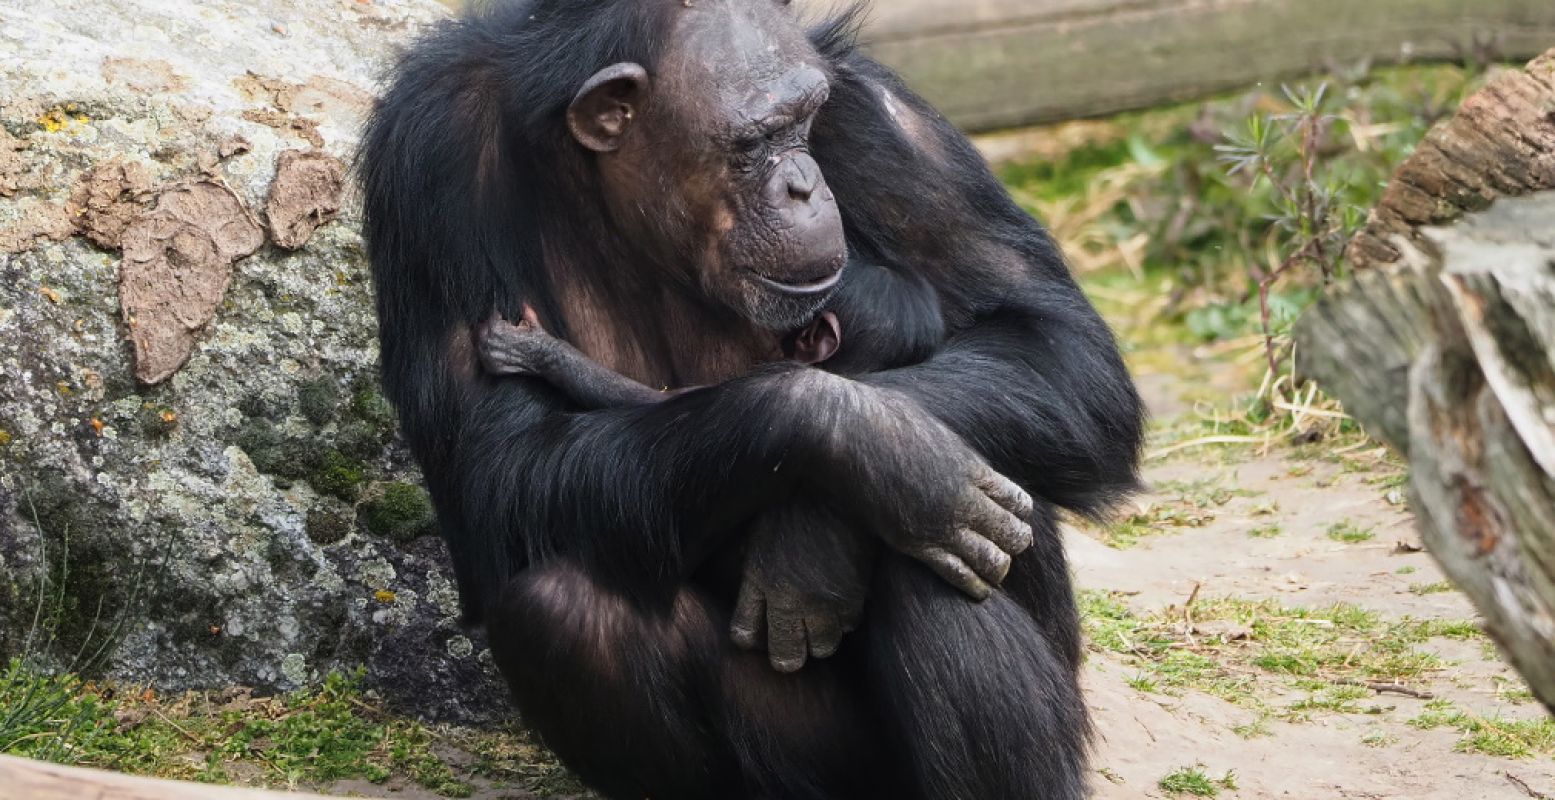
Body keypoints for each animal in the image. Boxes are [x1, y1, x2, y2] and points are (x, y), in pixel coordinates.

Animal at [360, 1, 1144, 796]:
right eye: (757, 141)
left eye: (804, 121)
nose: (805, 184)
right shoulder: (430, 160)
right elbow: (498, 469)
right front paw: (875, 447)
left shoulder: (886, 119)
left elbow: (1059, 348)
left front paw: (862, 471)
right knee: (565, 607)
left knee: (931, 554)